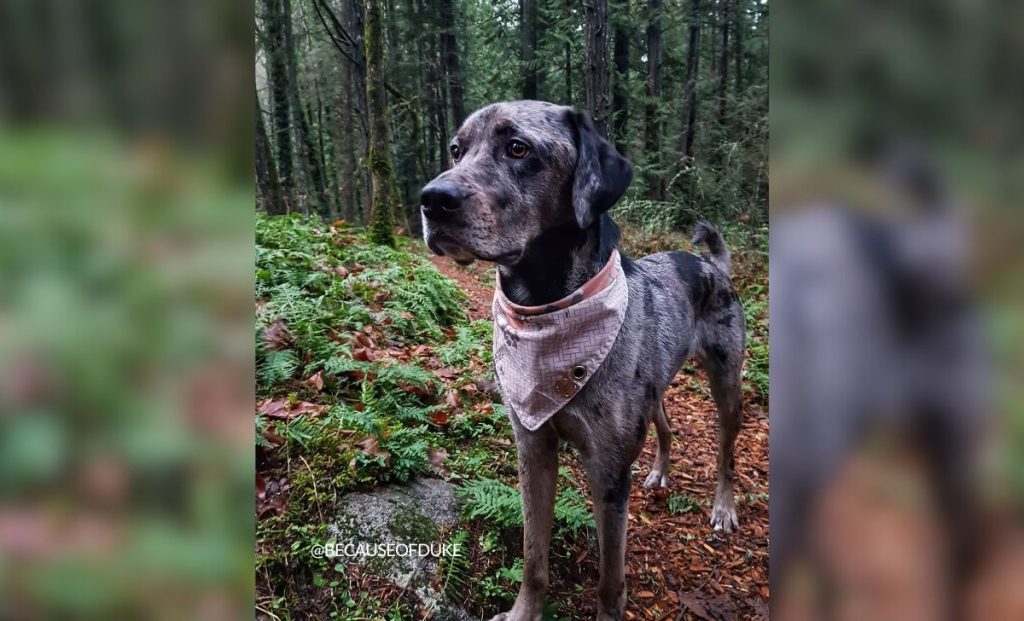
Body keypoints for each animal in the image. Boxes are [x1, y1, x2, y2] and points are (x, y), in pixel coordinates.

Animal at [415, 99, 745, 618]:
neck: (545, 306)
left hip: (727, 382)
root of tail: (713, 266)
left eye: (518, 148)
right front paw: (523, 612)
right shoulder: (533, 449)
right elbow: (533, 556)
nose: (432, 199)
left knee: (727, 450)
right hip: (654, 387)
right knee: (666, 424)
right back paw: (660, 471)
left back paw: (724, 507)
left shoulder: (608, 472)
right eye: (455, 149)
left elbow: (610, 580)